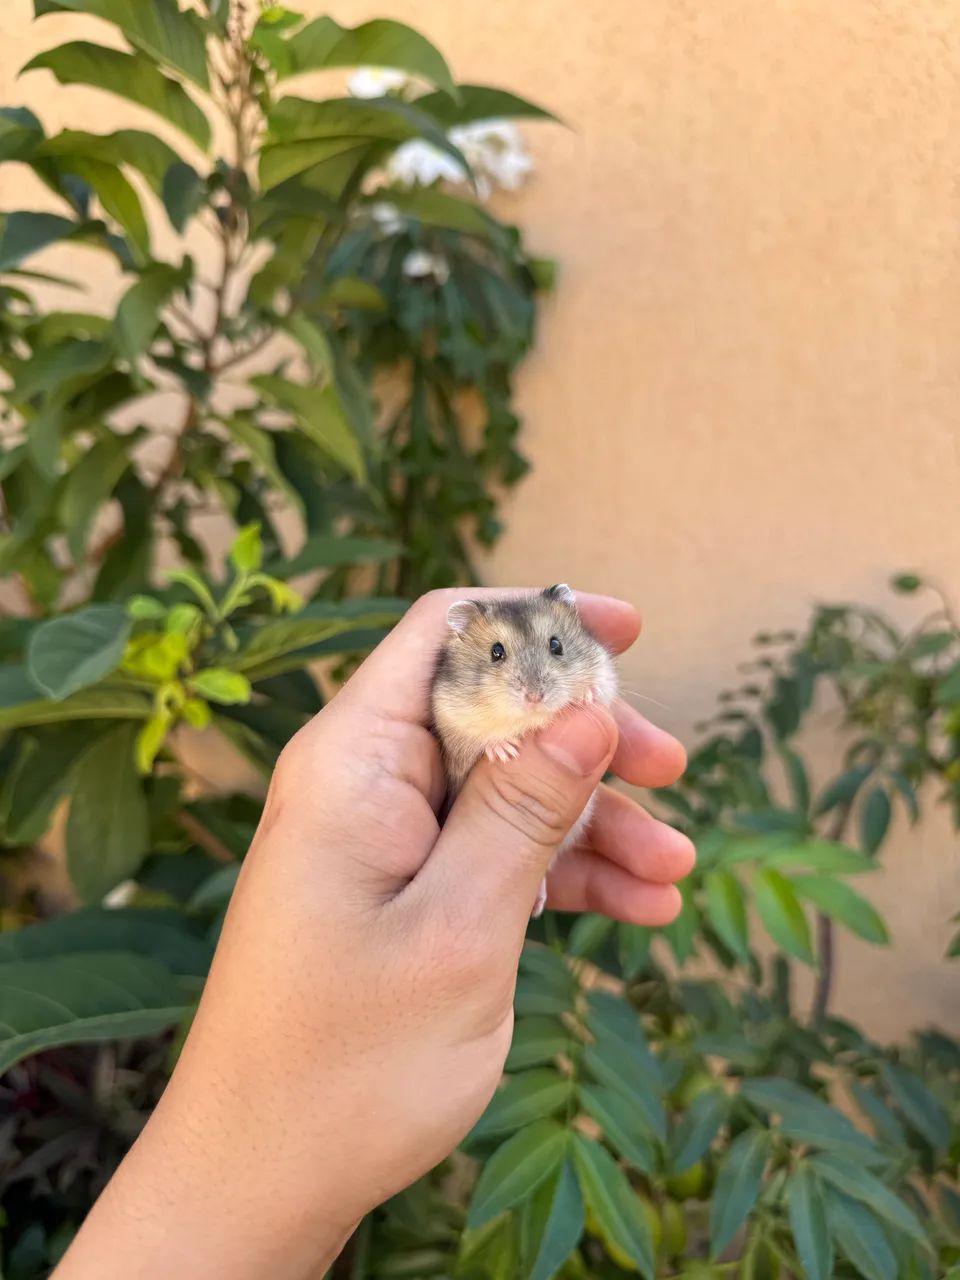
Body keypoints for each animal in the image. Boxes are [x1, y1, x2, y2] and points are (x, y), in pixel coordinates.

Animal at [431, 584, 618, 916]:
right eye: (496, 652)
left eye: (556, 644)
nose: (535, 697)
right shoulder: (452, 724)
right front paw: (505, 751)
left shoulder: (606, 672)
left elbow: (602, 689)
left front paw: (586, 696)